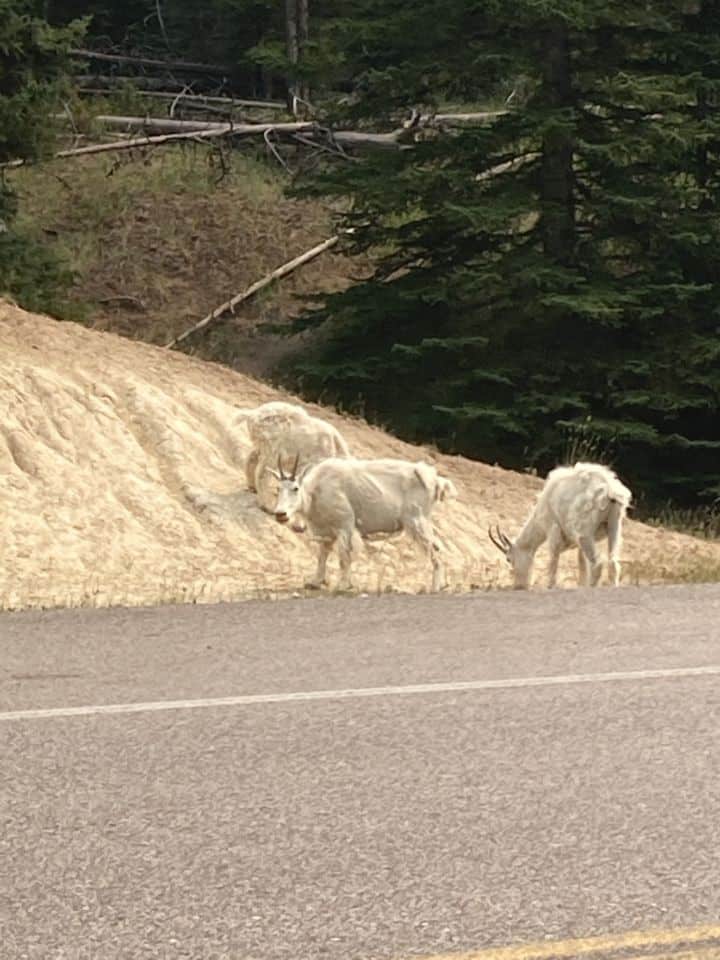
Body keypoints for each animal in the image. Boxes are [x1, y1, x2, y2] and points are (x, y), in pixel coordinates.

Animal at [270, 456, 456, 592]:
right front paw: (315, 582)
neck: (315, 491)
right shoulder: (327, 531)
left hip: (416, 521)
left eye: (295, 488)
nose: (280, 514)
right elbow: (322, 556)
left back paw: (434, 588)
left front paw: (343, 585)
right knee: (438, 546)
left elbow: (344, 557)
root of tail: (435, 480)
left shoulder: (344, 524)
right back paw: (443, 584)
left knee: (433, 550)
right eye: (278, 489)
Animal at [486, 462, 632, 588]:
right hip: (614, 526)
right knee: (613, 563)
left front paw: (550, 586)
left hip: (584, 533)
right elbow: (582, 562)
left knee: (597, 564)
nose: (518, 586)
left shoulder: (553, 529)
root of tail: (610, 491)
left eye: (508, 559)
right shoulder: (583, 543)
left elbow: (553, 558)